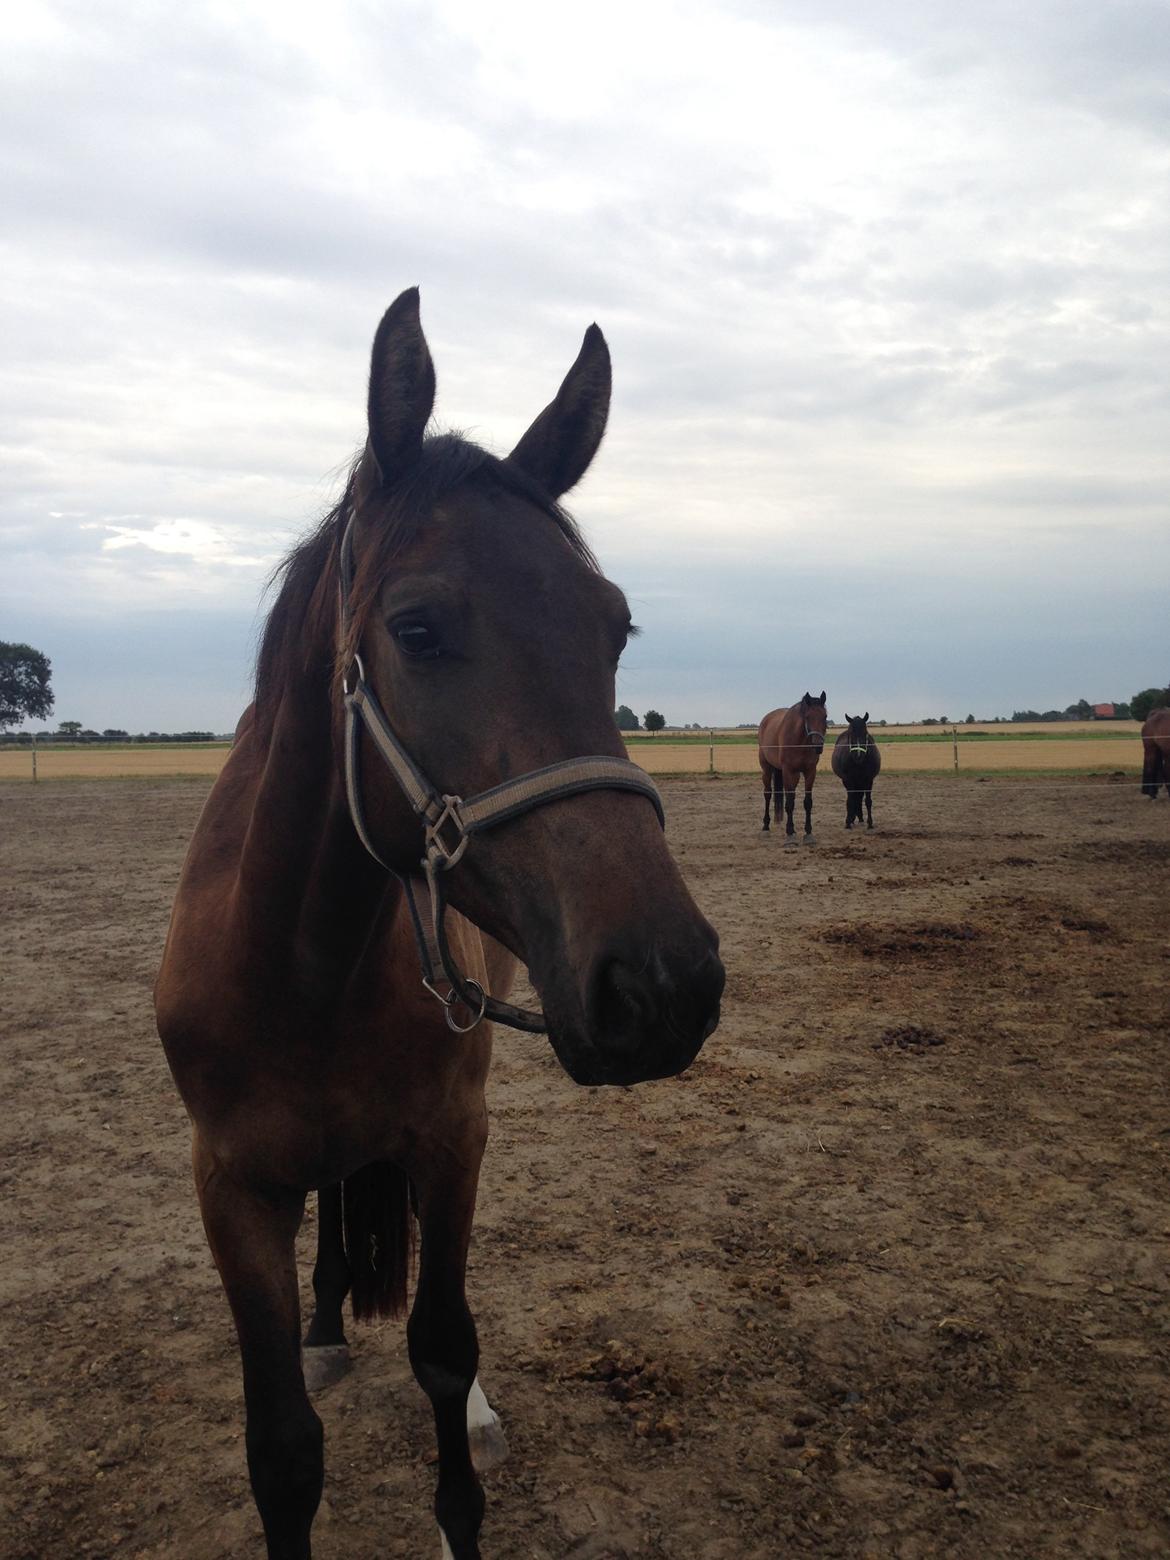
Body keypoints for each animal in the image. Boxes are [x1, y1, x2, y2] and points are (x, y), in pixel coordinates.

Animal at [153, 293, 723, 1560]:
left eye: (615, 629)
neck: (301, 967)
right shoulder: (229, 1187)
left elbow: (441, 1349)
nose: (664, 984)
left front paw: (463, 1436)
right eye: (415, 629)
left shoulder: (454, 1138)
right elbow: (282, 1452)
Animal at [755, 692, 829, 848]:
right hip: (767, 769)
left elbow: (807, 802)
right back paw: (765, 827)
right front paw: (790, 834)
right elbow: (789, 803)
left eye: (825, 716)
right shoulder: (789, 772)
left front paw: (808, 833)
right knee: (767, 794)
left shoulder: (810, 772)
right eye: (807, 717)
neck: (800, 741)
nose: (818, 746)